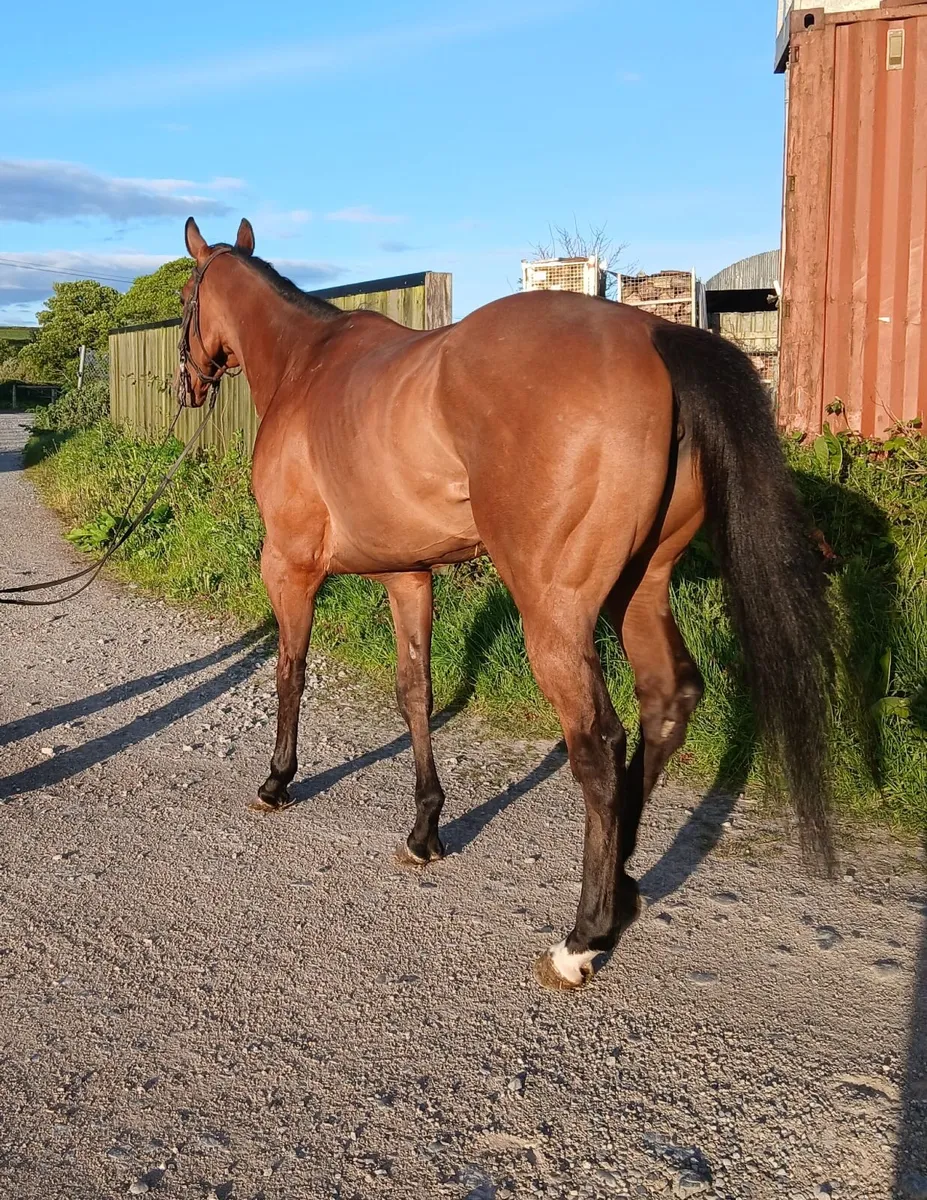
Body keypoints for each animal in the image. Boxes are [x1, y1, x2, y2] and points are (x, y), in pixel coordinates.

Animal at [177, 217, 835, 991]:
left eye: (186, 296)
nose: (188, 382)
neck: (306, 365)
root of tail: (653, 336)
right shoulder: (408, 576)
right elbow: (416, 692)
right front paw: (425, 830)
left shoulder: (288, 567)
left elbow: (289, 672)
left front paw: (278, 781)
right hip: (638, 589)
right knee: (667, 701)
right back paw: (623, 890)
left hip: (555, 612)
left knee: (598, 745)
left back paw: (583, 937)